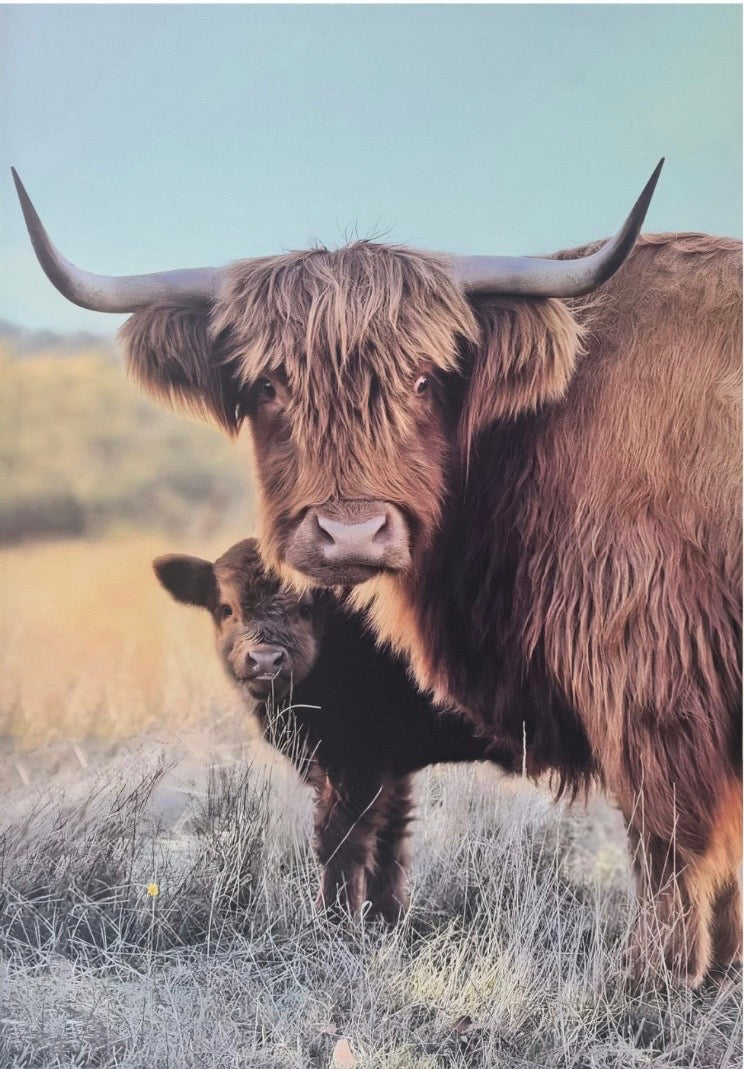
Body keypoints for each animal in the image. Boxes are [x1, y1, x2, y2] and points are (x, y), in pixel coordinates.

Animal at [153, 537, 505, 920]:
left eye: (307, 607)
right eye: (226, 608)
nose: (265, 660)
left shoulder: (355, 763)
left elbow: (339, 840)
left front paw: (333, 919)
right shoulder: (388, 768)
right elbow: (389, 837)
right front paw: (386, 916)